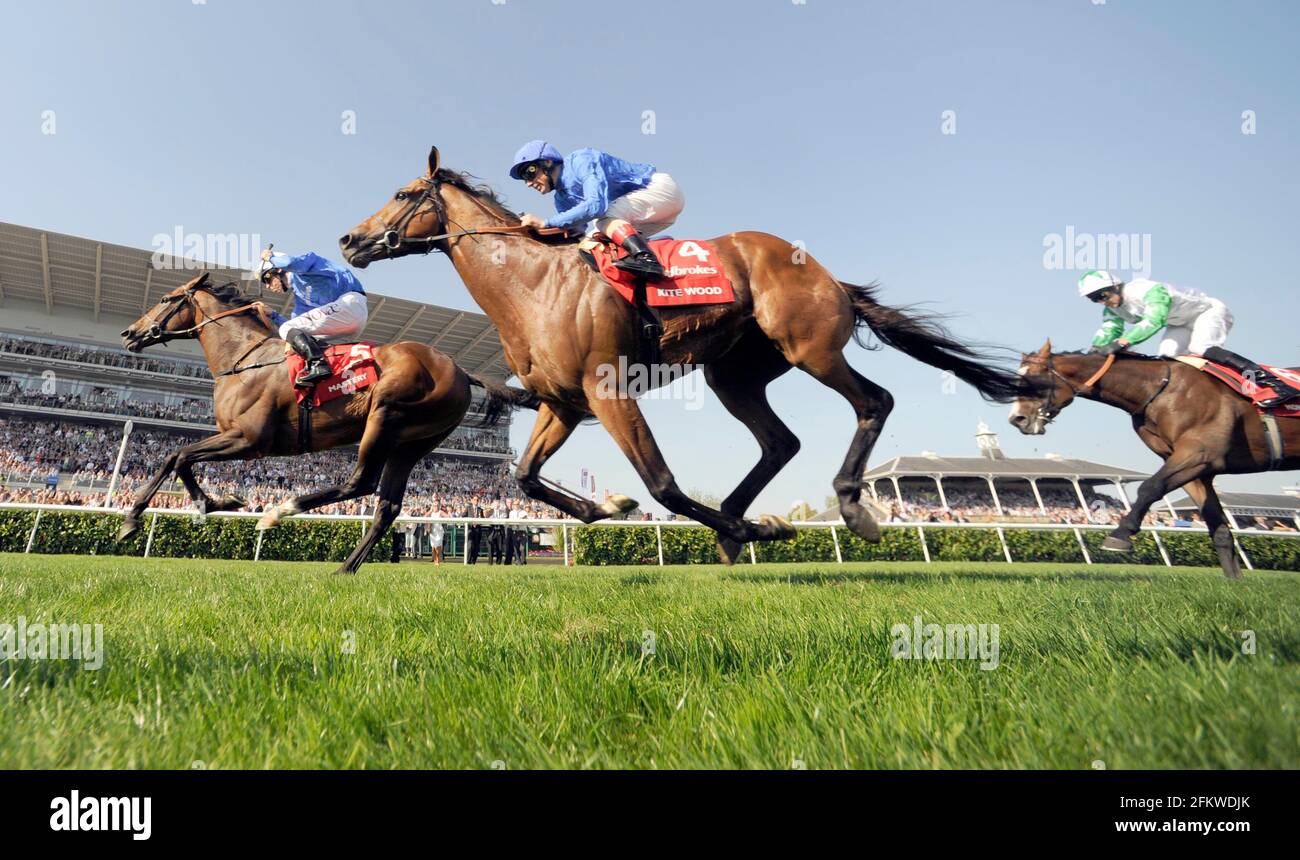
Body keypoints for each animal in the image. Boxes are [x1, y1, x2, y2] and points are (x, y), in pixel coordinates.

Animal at [118, 272, 527, 576]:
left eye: (166, 299)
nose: (128, 333)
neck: (244, 359)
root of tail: (459, 370)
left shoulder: (250, 440)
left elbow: (177, 455)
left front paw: (136, 520)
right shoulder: (237, 438)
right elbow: (181, 458)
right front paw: (215, 502)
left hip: (385, 415)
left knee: (361, 482)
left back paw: (279, 512)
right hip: (412, 443)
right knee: (387, 505)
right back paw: (345, 567)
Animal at [338, 146, 1034, 566]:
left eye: (403, 192)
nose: (349, 240)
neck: (535, 283)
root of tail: (828, 275)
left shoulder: (607, 392)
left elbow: (663, 485)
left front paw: (757, 529)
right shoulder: (564, 404)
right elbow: (527, 477)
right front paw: (606, 507)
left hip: (808, 346)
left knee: (874, 400)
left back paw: (847, 508)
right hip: (736, 374)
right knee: (781, 441)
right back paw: (733, 520)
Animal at [1003, 342, 1300, 579]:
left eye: (1033, 381)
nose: (1017, 419)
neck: (1160, 389)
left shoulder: (1199, 454)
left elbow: (1149, 487)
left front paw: (1119, 536)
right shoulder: (1197, 470)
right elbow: (1219, 528)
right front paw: (1234, 584)